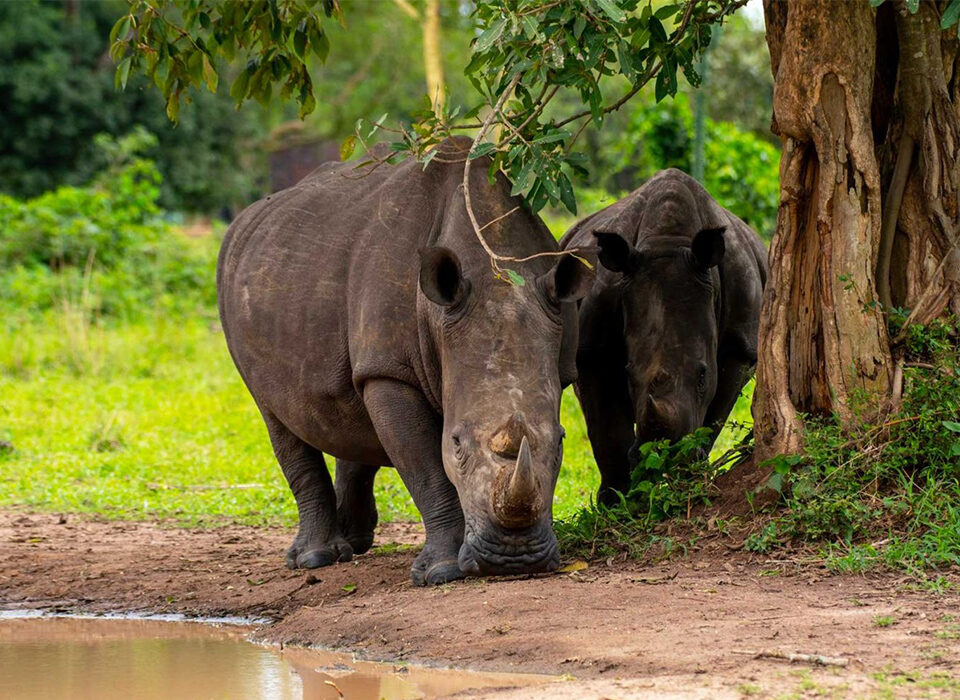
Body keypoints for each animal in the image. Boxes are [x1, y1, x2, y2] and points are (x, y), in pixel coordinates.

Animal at [217, 138, 592, 585]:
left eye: (561, 441)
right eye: (457, 444)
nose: (513, 560)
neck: (496, 272)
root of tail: (246, 219)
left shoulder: (561, 360)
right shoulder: (390, 372)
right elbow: (426, 467)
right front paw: (443, 573)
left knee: (347, 408)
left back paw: (354, 542)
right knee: (276, 415)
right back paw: (314, 559)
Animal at [560, 169, 767, 505]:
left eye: (702, 375)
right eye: (628, 375)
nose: (664, 457)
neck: (668, 241)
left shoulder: (740, 346)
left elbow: (715, 416)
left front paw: (691, 477)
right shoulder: (593, 350)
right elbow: (606, 431)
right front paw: (616, 501)